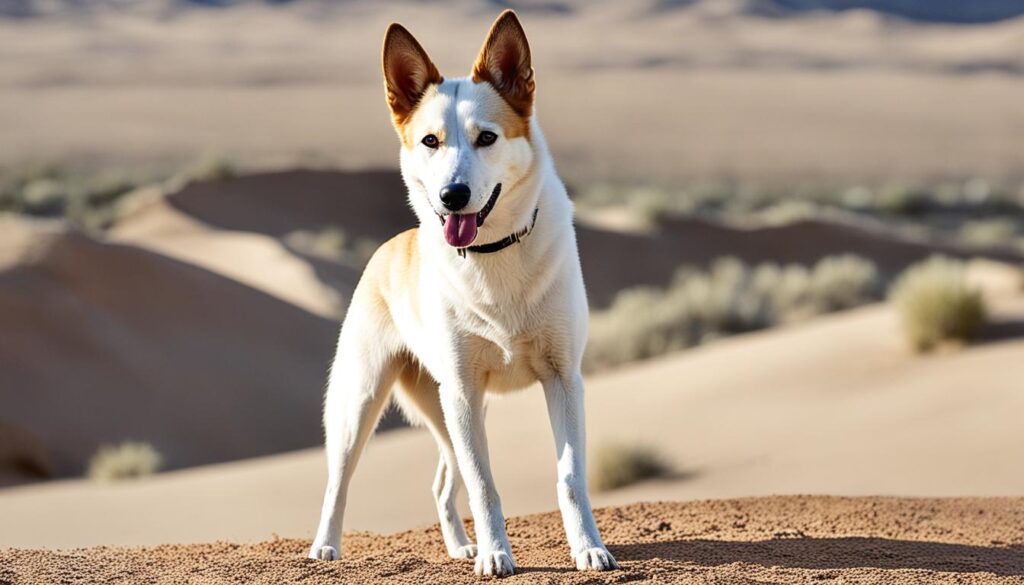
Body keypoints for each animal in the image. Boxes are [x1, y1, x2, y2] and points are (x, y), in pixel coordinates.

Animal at [307, 9, 614, 577]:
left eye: (487, 137)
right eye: (430, 141)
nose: (452, 196)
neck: (494, 255)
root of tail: (390, 246)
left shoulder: (563, 379)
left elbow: (569, 477)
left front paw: (588, 548)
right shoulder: (464, 391)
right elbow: (484, 484)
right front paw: (496, 555)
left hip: (450, 409)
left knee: (441, 483)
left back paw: (458, 546)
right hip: (364, 403)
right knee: (339, 482)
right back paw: (326, 547)